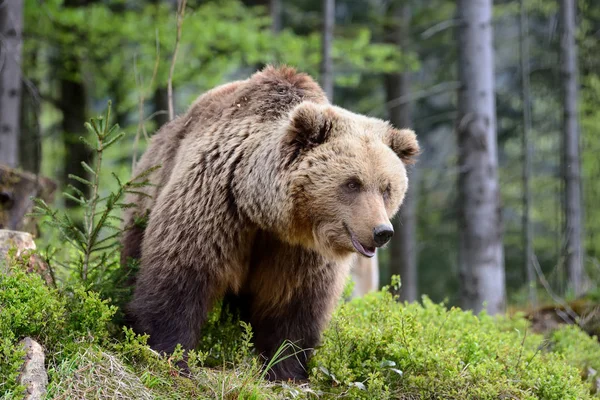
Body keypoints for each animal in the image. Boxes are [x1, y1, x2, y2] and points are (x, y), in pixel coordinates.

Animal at [122, 65, 420, 382]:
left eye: (387, 188)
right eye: (353, 183)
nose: (382, 232)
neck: (265, 213)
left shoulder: (299, 251)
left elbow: (293, 306)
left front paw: (285, 370)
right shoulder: (215, 203)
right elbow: (181, 277)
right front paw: (169, 355)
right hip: (146, 193)